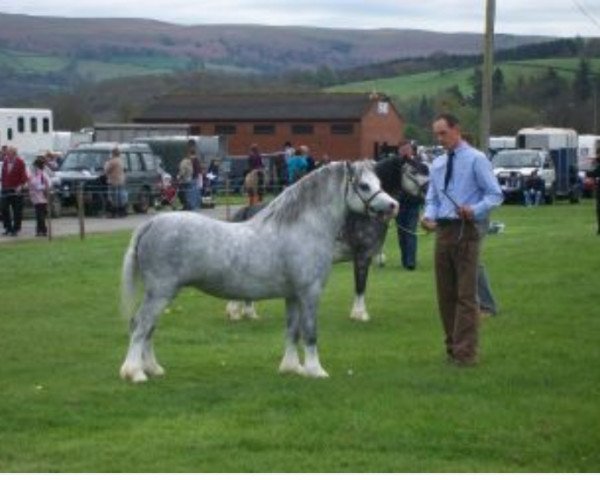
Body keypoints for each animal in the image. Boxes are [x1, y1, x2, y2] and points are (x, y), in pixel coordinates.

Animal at [118, 161, 398, 382]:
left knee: (148, 328)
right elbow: (309, 332)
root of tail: (151, 223)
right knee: (141, 326)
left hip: (161, 294)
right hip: (160, 293)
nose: (393, 205)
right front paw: (315, 370)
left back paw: (153, 368)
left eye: (378, 182)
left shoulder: (293, 295)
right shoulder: (310, 293)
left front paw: (291, 368)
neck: (303, 228)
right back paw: (135, 373)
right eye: (364, 186)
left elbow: (292, 331)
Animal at [226, 156, 432, 322]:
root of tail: (248, 210)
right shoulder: (362, 255)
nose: (393, 206)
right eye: (413, 171)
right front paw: (359, 314)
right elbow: (360, 285)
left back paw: (248, 313)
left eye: (379, 184)